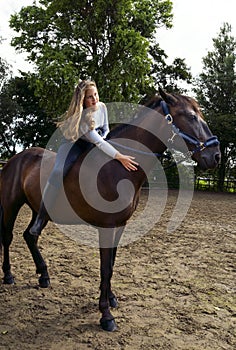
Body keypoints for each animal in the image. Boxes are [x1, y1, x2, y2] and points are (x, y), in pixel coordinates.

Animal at [0, 87, 221, 330]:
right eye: (191, 116)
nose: (215, 155)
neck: (118, 168)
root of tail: (16, 158)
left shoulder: (120, 225)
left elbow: (112, 263)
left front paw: (111, 298)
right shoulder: (106, 226)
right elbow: (105, 268)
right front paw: (106, 315)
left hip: (38, 210)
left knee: (30, 235)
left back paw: (43, 275)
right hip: (11, 205)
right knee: (8, 237)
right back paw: (9, 275)